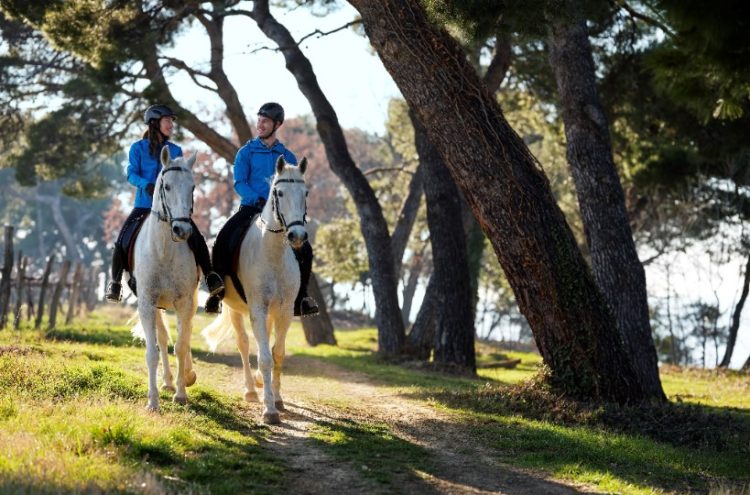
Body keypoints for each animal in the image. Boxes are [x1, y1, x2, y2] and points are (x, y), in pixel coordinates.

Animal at [132, 146, 198, 410]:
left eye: (192, 187)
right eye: (167, 186)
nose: (182, 230)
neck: (163, 251)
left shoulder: (184, 302)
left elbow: (181, 346)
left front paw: (181, 394)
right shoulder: (147, 303)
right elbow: (153, 350)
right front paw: (153, 402)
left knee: (185, 336)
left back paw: (186, 376)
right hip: (157, 307)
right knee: (162, 338)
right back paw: (168, 381)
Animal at [203, 157, 308, 424]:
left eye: (305, 193)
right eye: (279, 193)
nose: (297, 235)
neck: (273, 254)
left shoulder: (284, 311)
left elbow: (277, 353)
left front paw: (278, 400)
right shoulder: (257, 309)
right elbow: (264, 358)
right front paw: (269, 410)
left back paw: (261, 385)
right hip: (234, 309)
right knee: (243, 344)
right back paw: (251, 390)